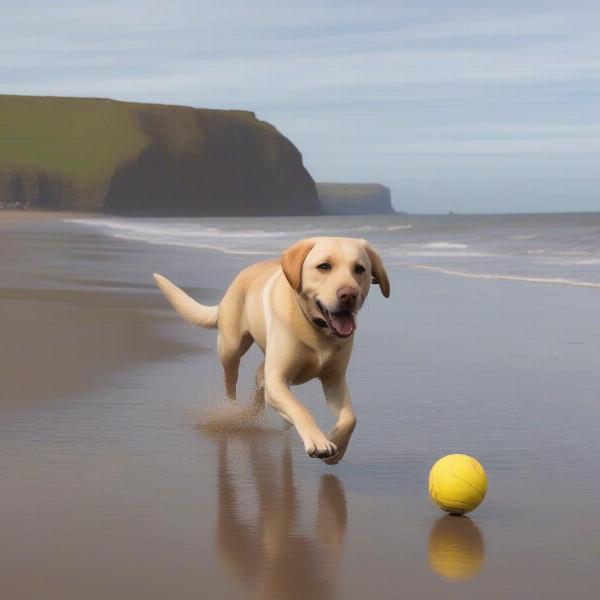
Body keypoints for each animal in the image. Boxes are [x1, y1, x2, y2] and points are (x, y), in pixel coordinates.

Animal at [154, 237, 390, 462]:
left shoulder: (334, 379)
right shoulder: (278, 379)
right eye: (324, 266)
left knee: (260, 378)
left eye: (359, 269)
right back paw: (231, 411)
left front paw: (336, 447)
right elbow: (300, 409)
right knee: (231, 382)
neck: (316, 328)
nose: (349, 295)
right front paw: (318, 441)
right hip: (231, 349)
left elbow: (350, 418)